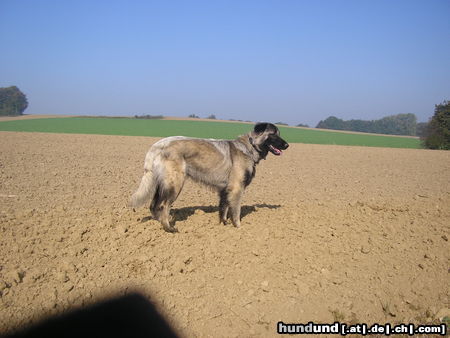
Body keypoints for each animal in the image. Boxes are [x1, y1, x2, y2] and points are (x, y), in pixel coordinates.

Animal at [129, 122, 288, 232]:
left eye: (279, 133)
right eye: (273, 134)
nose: (287, 145)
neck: (249, 147)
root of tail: (157, 145)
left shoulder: (225, 190)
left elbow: (224, 209)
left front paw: (223, 225)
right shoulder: (237, 189)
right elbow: (235, 211)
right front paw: (238, 228)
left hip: (161, 183)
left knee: (153, 205)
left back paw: (157, 224)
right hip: (175, 184)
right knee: (163, 205)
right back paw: (169, 228)